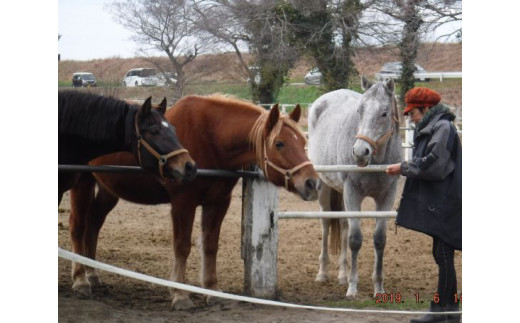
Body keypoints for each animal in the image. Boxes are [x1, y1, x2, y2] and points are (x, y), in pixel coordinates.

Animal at [308, 77, 402, 300]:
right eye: (359, 110)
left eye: (384, 113)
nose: (360, 152)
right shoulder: (353, 193)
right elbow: (355, 239)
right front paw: (352, 287)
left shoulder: (387, 196)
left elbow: (379, 239)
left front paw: (378, 287)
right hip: (324, 188)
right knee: (326, 222)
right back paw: (323, 273)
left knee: (342, 223)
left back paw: (342, 274)